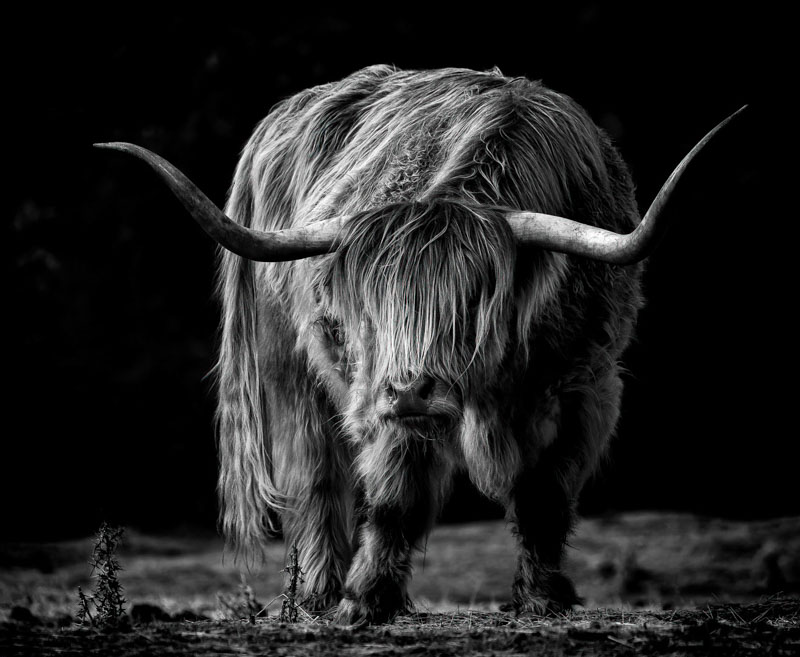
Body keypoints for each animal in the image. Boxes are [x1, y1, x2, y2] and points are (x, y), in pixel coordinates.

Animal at [97, 65, 743, 624]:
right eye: (373, 303)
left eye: (472, 301)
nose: (413, 390)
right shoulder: (381, 396)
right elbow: (395, 496)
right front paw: (365, 601)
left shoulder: (588, 386)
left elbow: (546, 495)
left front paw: (543, 597)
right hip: (288, 364)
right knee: (316, 476)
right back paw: (318, 596)